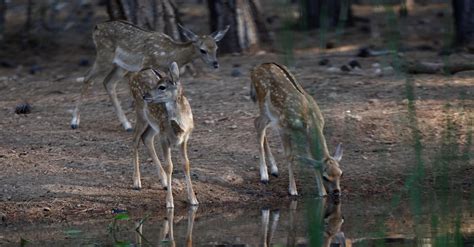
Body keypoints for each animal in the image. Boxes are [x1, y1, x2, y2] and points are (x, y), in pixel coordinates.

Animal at [71, 19, 231, 131]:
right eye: (203, 50)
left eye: (216, 47)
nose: (215, 64)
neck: (169, 54)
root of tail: (96, 27)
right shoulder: (145, 63)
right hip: (104, 55)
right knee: (87, 77)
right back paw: (74, 122)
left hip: (121, 65)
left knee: (108, 82)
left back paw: (126, 124)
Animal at [125, 61, 197, 208]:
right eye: (157, 84)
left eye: (162, 87)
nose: (145, 95)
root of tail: (134, 74)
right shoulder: (164, 137)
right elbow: (169, 166)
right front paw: (169, 202)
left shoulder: (184, 139)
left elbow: (186, 164)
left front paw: (193, 199)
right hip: (141, 113)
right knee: (135, 139)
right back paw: (137, 182)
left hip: (153, 124)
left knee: (146, 138)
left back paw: (163, 182)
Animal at [250, 62, 342, 198]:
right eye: (325, 177)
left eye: (340, 173)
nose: (336, 192)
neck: (309, 121)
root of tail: (256, 68)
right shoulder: (283, 127)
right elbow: (289, 156)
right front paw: (293, 190)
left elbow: (312, 159)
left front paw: (322, 193)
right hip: (263, 102)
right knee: (258, 124)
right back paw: (264, 176)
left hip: (271, 114)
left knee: (260, 125)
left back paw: (274, 169)